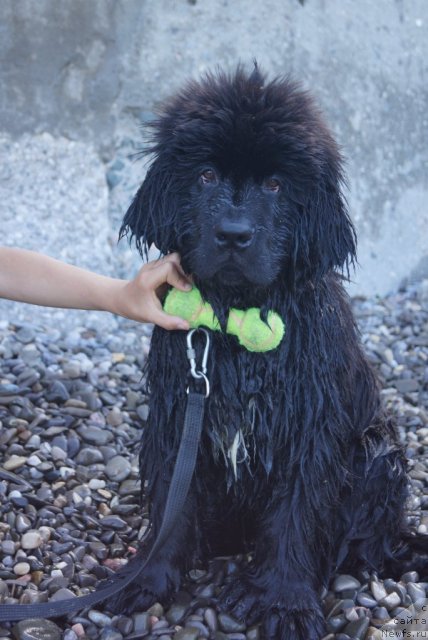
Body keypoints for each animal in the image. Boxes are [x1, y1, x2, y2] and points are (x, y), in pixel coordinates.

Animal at [117, 66, 412, 640]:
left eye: (276, 184)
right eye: (206, 175)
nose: (234, 235)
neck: (238, 318)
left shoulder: (310, 428)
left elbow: (297, 513)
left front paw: (285, 600)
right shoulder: (177, 412)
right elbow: (171, 502)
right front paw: (151, 578)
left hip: (378, 453)